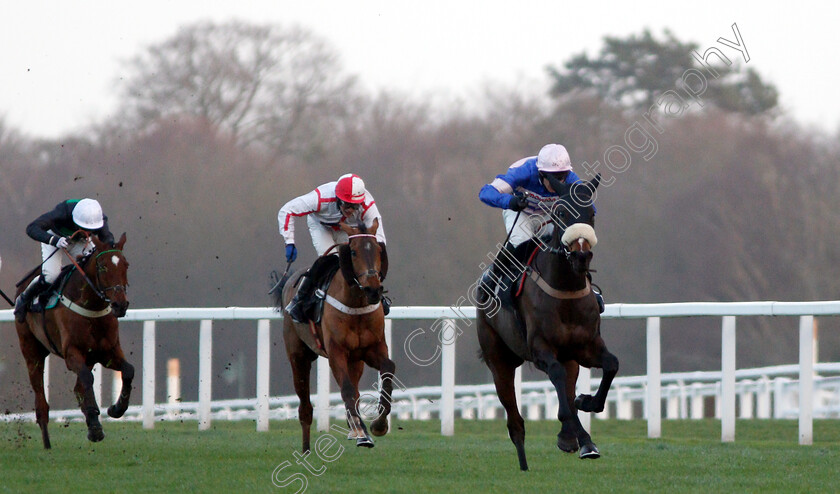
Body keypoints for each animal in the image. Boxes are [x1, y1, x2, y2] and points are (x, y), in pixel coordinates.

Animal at [13, 232, 133, 448]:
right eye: (102, 266)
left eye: (125, 264)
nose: (120, 305)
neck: (91, 307)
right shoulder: (72, 353)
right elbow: (86, 378)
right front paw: (95, 428)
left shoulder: (107, 352)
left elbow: (128, 371)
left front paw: (116, 409)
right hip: (31, 350)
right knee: (41, 401)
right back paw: (47, 444)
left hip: (90, 357)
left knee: (77, 388)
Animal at [280, 220, 396, 452]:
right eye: (353, 252)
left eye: (378, 250)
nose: (373, 290)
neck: (356, 304)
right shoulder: (336, 352)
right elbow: (347, 390)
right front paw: (361, 434)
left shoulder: (373, 349)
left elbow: (388, 369)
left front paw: (378, 425)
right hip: (298, 356)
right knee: (305, 406)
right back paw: (306, 450)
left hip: (356, 361)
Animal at [476, 174, 620, 470]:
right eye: (561, 213)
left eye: (591, 213)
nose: (581, 255)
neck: (564, 290)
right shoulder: (541, 349)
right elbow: (560, 390)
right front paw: (584, 437)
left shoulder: (586, 346)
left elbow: (610, 365)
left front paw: (586, 402)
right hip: (498, 361)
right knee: (515, 421)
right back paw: (524, 463)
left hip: (571, 358)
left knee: (567, 381)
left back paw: (567, 437)